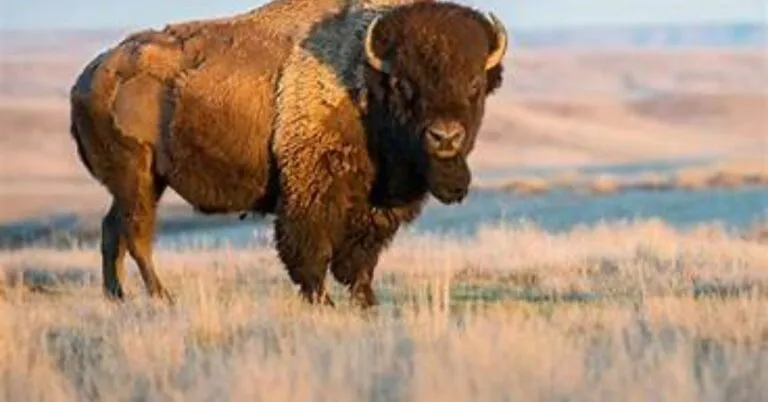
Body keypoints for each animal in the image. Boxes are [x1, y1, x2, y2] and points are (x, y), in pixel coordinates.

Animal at [68, 0, 508, 307]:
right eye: (403, 84)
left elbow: (361, 259)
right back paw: (162, 297)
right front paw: (323, 301)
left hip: (140, 183)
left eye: (474, 84)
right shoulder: (309, 191)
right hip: (138, 177)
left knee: (112, 230)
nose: (445, 137)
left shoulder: (374, 209)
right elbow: (310, 250)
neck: (364, 81)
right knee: (136, 234)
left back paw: (117, 297)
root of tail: (91, 75)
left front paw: (367, 302)